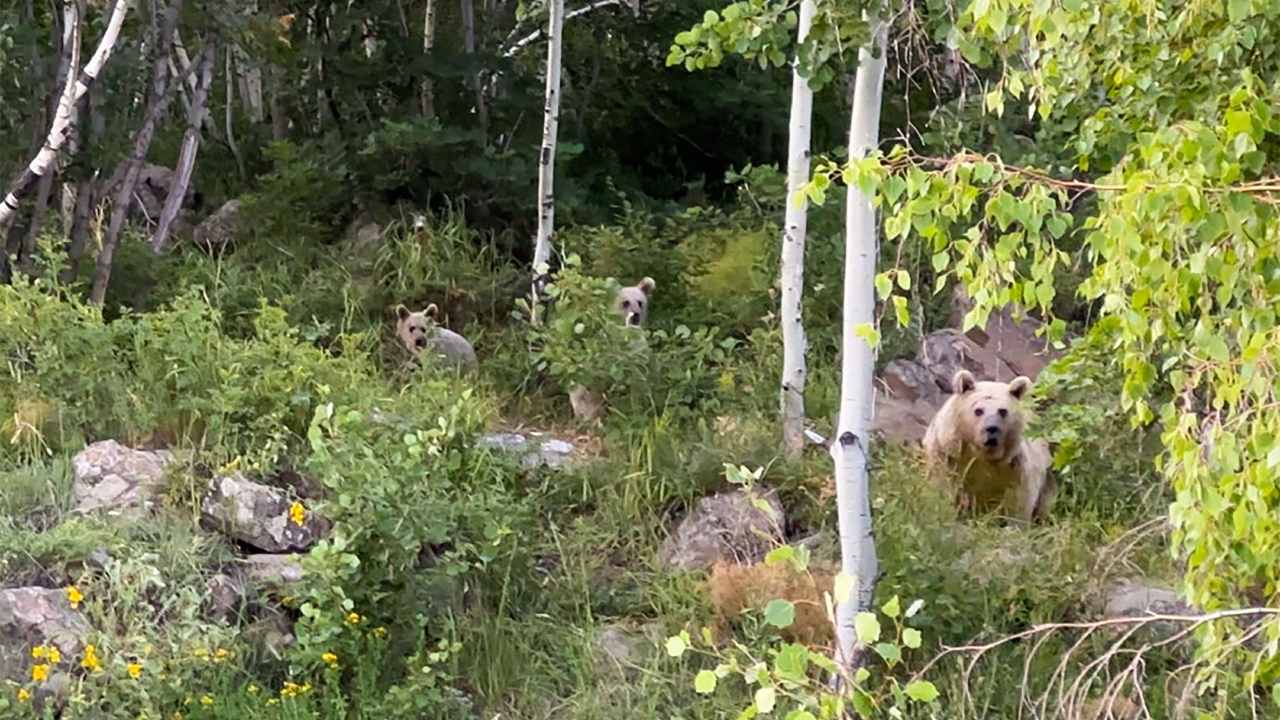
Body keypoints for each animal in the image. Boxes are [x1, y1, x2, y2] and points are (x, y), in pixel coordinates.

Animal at [926, 368, 1054, 520]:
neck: (981, 454)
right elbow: (942, 486)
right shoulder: (947, 454)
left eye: (1003, 411)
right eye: (978, 410)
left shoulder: (1016, 466)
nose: (992, 428)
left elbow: (1019, 501)